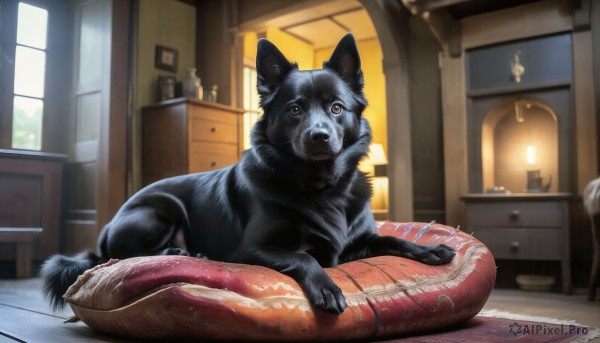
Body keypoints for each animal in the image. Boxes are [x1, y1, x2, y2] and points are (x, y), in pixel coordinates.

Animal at [42, 33, 454, 316]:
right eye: (294, 110)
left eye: (337, 108)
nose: (319, 136)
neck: (322, 186)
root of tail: (105, 230)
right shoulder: (253, 249)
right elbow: (305, 258)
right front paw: (327, 288)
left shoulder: (358, 242)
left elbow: (393, 239)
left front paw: (430, 249)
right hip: (159, 210)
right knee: (123, 255)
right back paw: (182, 252)